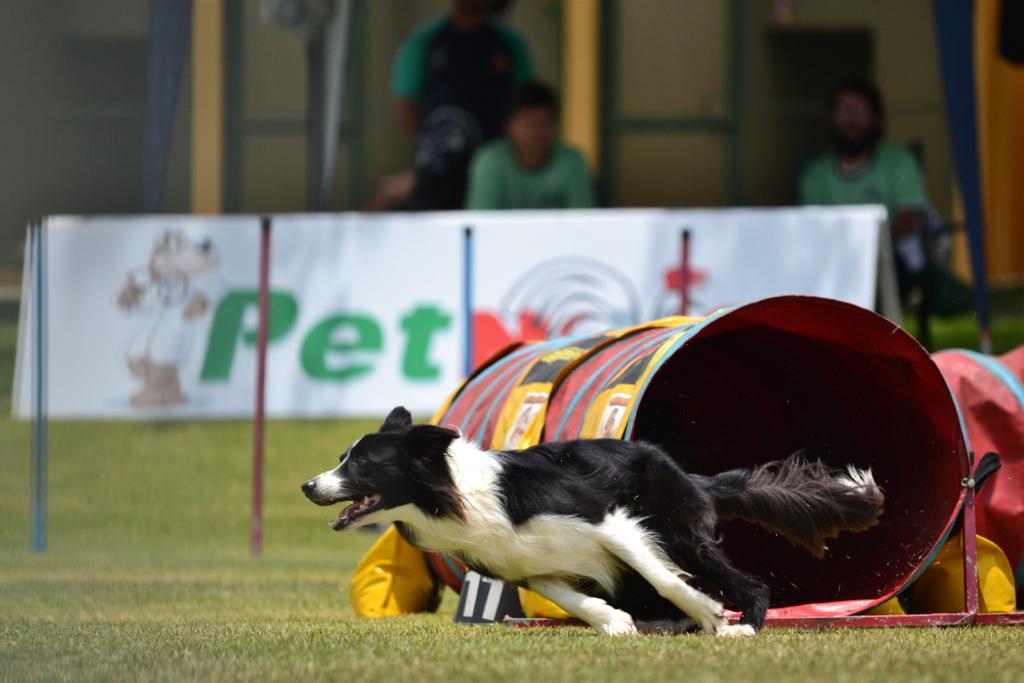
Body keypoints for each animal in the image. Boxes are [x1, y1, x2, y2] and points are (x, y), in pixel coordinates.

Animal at [299, 405, 884, 634]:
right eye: (342, 457)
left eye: (362, 464)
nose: (308, 486)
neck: (452, 496)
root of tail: (693, 478)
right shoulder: (528, 567)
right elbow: (571, 598)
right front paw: (613, 623)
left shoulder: (608, 522)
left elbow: (664, 579)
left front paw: (709, 613)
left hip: (677, 531)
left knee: (747, 582)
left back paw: (742, 625)